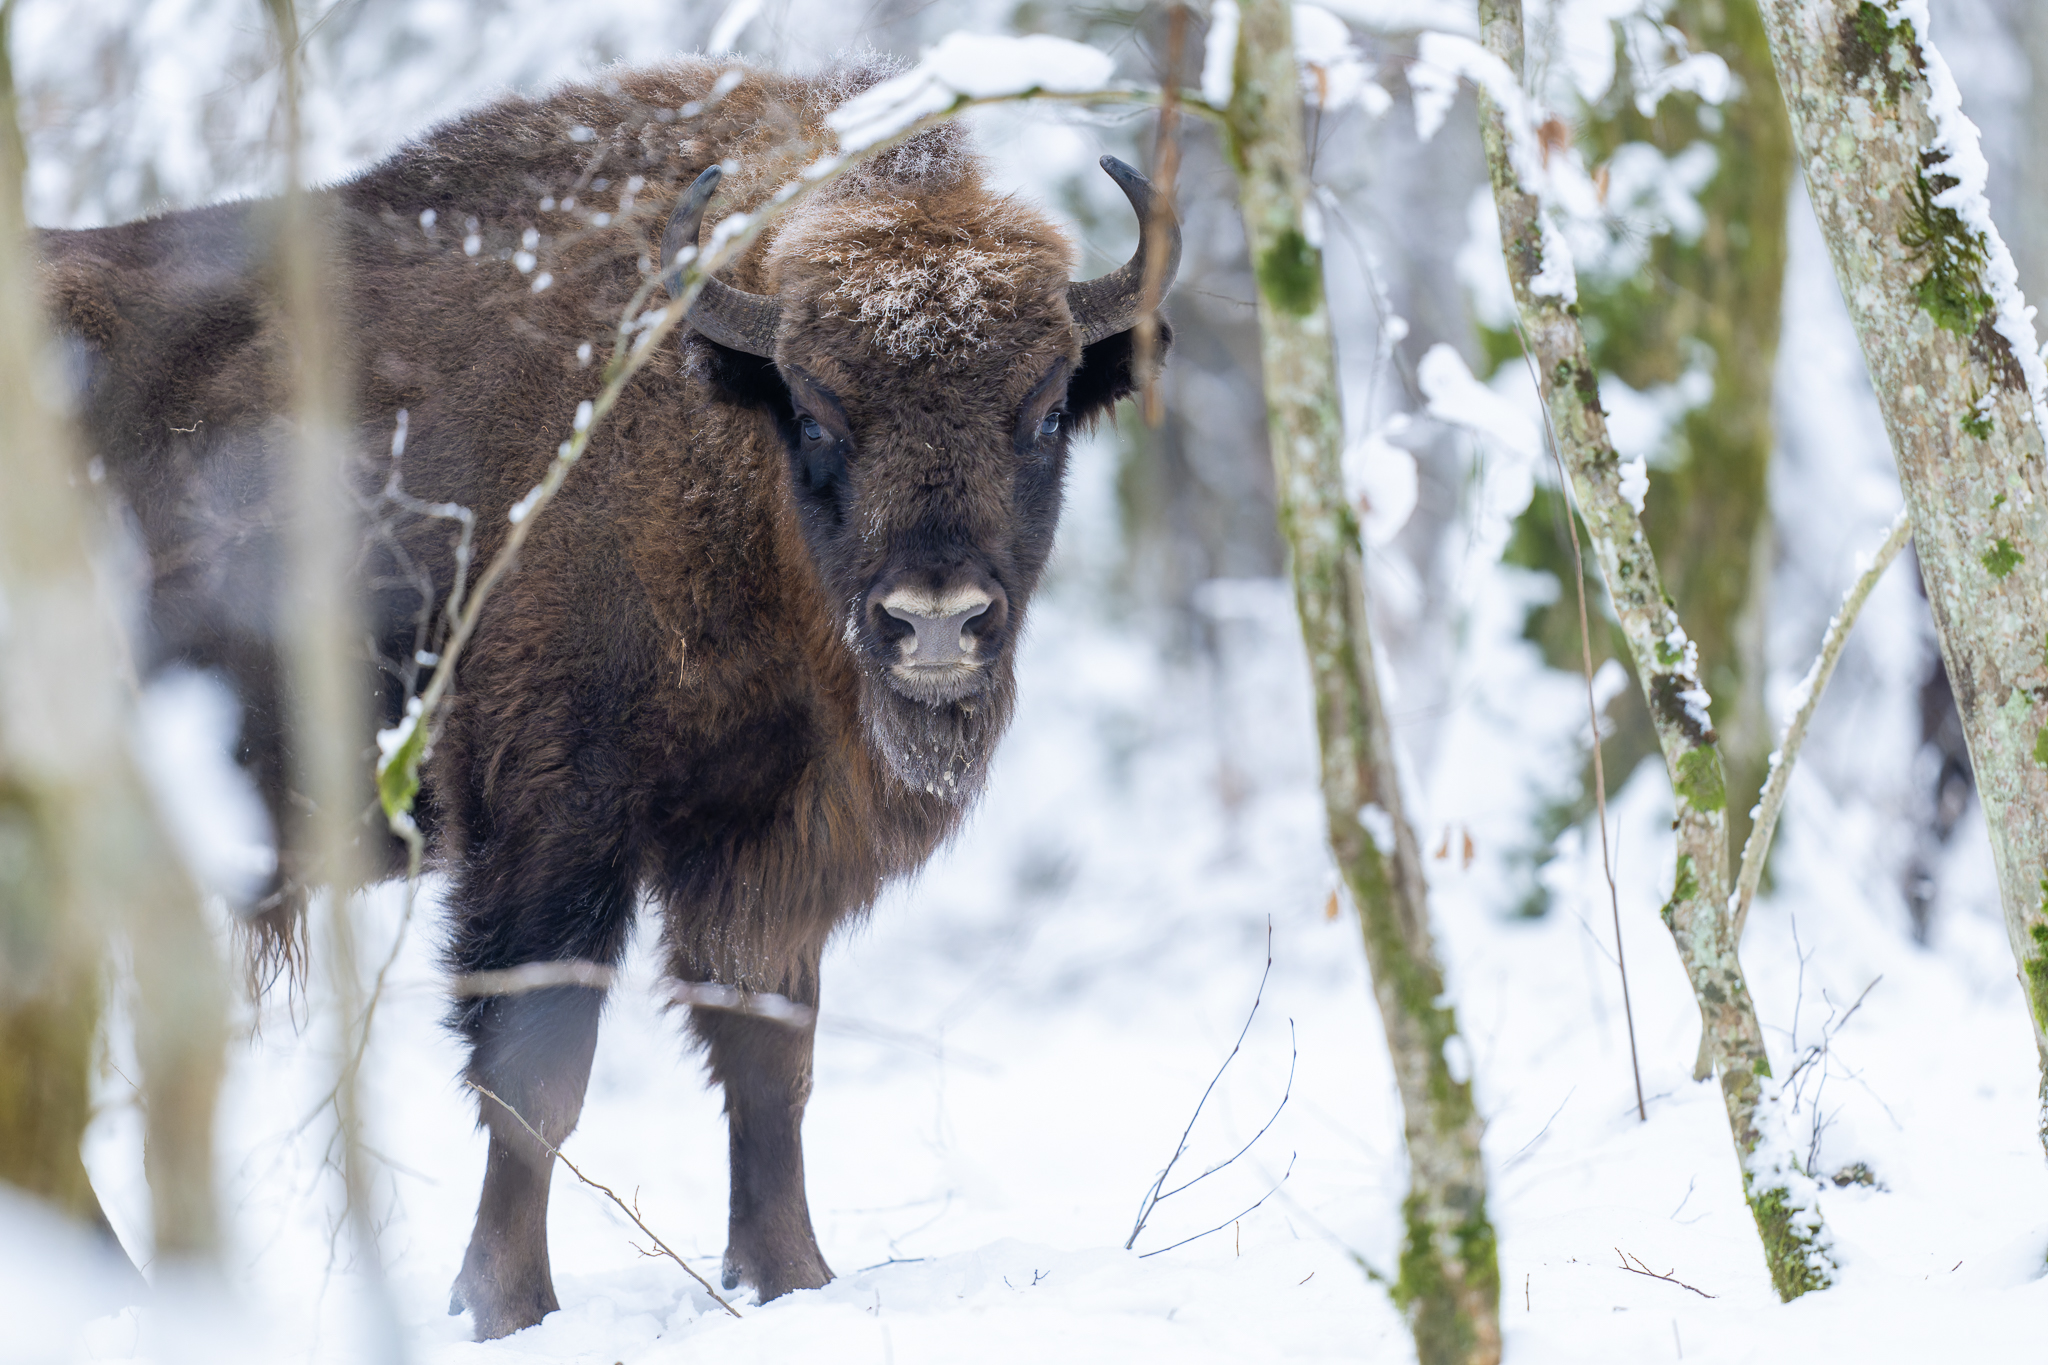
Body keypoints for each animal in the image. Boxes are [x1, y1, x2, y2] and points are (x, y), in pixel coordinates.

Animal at [41, 56, 1178, 1337]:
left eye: (1044, 412)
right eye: (817, 413)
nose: (935, 619)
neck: (712, 430)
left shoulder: (759, 847)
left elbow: (769, 1062)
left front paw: (792, 1280)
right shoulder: (553, 831)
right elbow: (535, 1075)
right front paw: (503, 1307)